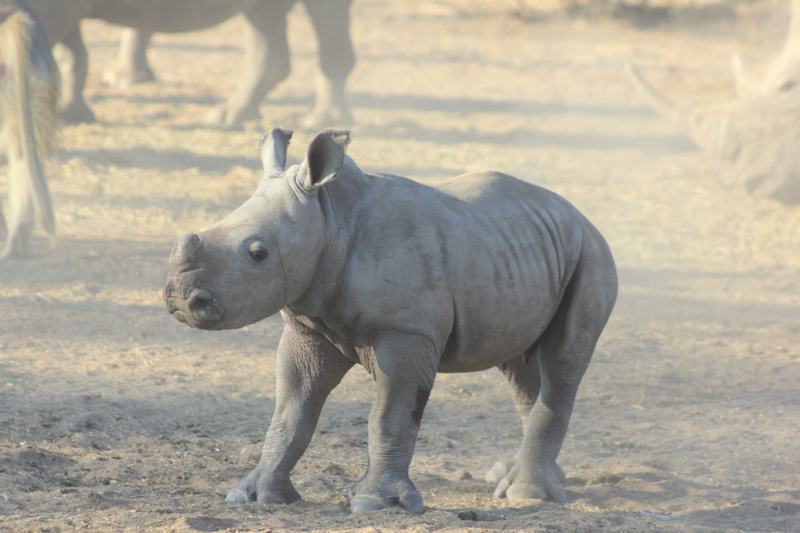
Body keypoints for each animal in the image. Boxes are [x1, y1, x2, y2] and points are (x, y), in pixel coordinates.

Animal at [25, 0, 354, 128]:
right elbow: (70, 54)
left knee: (328, 19)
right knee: (265, 23)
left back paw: (323, 121)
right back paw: (229, 117)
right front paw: (70, 114)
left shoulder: (55, 9)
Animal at [162, 129, 618, 513]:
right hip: (518, 252)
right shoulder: (308, 323)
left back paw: (526, 494)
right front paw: (254, 495)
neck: (329, 218)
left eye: (258, 254)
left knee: (564, 357)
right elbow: (291, 412)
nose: (179, 299)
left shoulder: (407, 330)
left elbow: (391, 415)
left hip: (592, 251)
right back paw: (516, 477)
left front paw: (372, 503)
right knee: (519, 366)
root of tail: (577, 213)